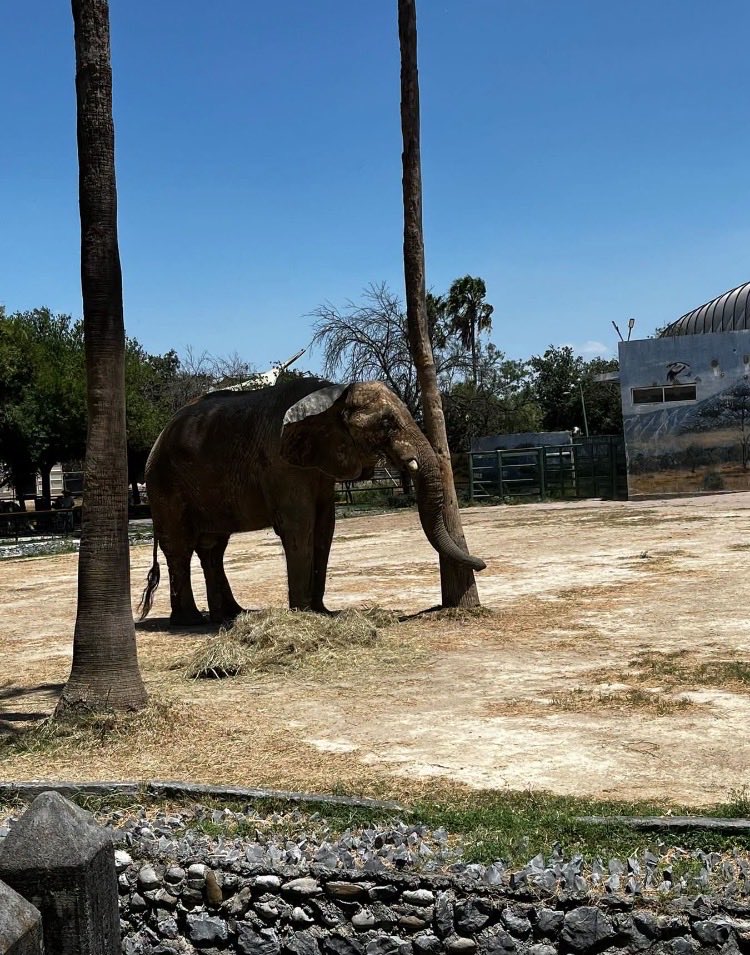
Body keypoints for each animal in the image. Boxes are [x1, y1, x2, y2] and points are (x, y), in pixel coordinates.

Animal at [138, 376, 485, 625]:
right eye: (386, 424)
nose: (482, 564)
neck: (334, 394)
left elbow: (324, 526)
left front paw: (321, 612)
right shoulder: (280, 463)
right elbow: (299, 525)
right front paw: (303, 613)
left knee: (213, 547)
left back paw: (232, 614)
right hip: (163, 482)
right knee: (180, 547)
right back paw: (190, 620)